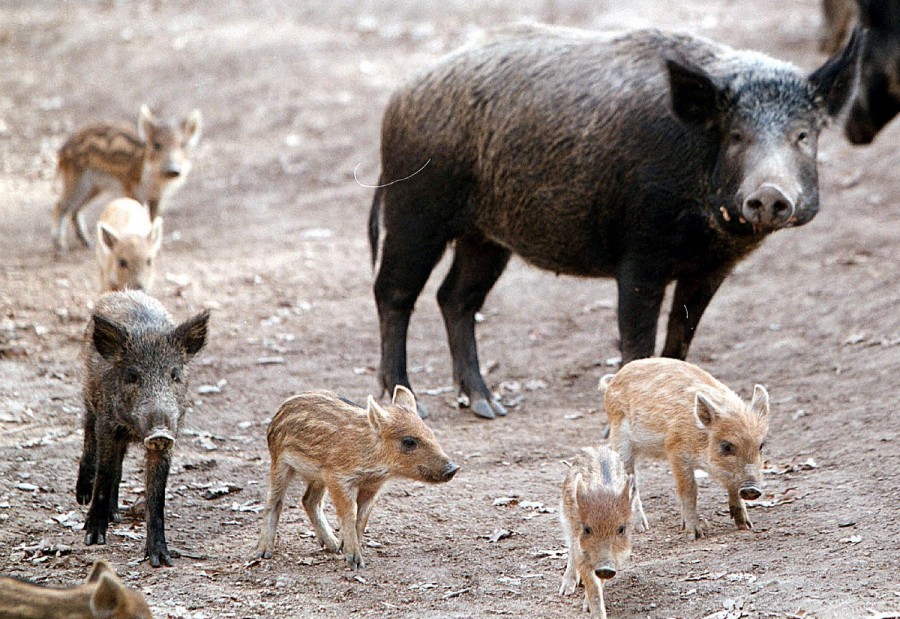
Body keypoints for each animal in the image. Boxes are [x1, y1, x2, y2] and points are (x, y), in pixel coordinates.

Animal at [370, 26, 864, 418]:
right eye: (736, 135)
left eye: (802, 134)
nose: (769, 194)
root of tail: (399, 95)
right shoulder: (640, 253)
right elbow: (637, 339)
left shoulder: (710, 267)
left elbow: (681, 336)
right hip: (415, 210)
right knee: (393, 293)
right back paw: (413, 406)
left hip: (486, 238)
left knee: (455, 297)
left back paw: (488, 407)